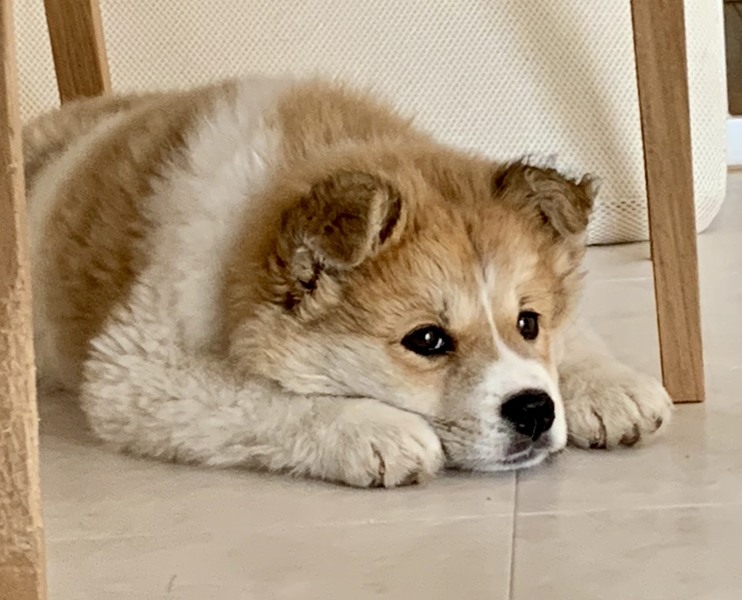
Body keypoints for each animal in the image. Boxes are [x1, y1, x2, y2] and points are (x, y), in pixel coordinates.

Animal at [23, 76, 672, 487]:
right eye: (427, 340)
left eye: (528, 322)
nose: (536, 411)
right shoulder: (135, 370)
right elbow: (260, 397)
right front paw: (373, 430)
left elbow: (573, 337)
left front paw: (609, 386)